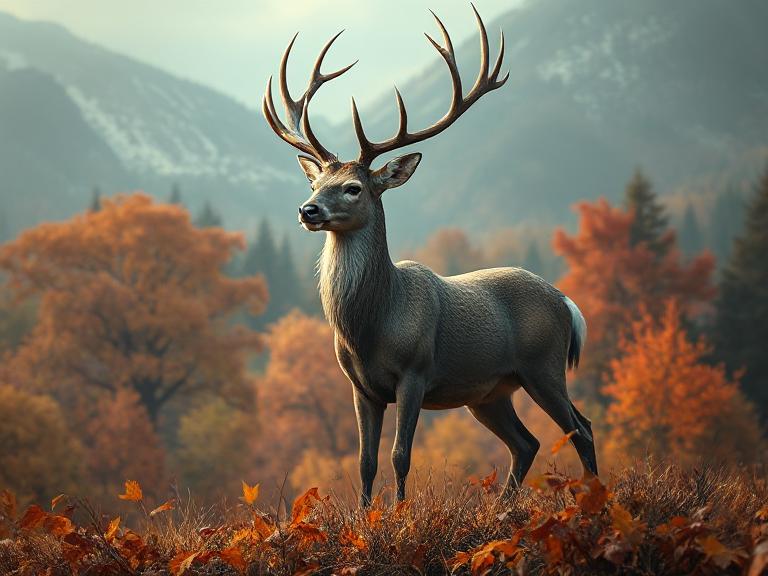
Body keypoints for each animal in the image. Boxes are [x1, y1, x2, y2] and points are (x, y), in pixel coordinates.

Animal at [262, 4, 598, 506]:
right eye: (316, 182)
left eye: (353, 187)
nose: (308, 210)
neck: (371, 324)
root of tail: (566, 302)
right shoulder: (360, 386)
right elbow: (364, 461)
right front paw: (365, 517)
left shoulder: (415, 371)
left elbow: (401, 455)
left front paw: (400, 515)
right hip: (489, 393)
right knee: (528, 442)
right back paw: (501, 509)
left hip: (544, 365)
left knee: (581, 428)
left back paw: (597, 498)